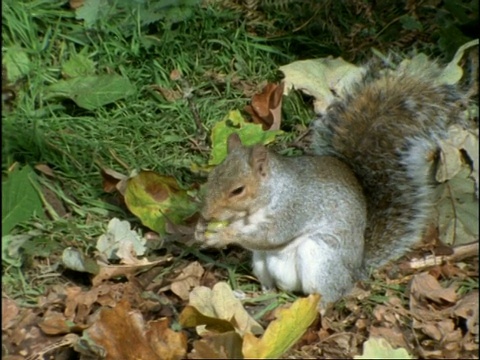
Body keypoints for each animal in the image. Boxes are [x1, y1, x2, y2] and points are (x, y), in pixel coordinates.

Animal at [193, 57, 466, 306]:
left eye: (238, 190)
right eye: (212, 177)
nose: (206, 213)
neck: (269, 195)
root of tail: (355, 272)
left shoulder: (294, 208)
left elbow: (271, 235)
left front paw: (223, 235)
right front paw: (200, 228)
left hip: (320, 258)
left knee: (328, 295)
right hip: (262, 263)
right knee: (272, 286)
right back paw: (256, 295)